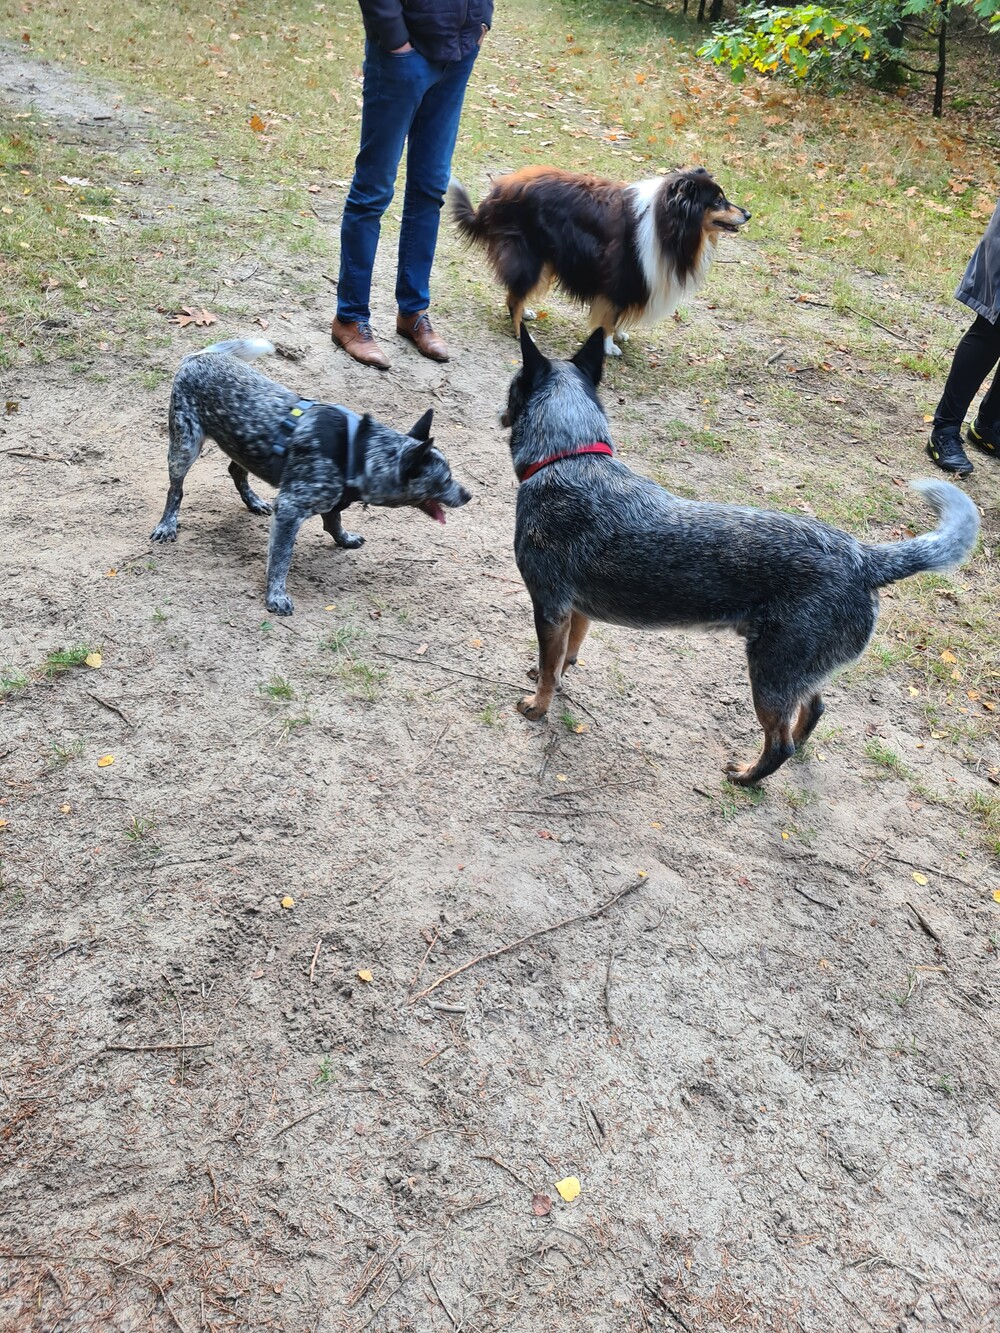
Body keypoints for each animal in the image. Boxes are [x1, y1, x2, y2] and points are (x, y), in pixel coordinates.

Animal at [151, 339, 471, 615]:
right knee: (175, 491)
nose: (468, 495)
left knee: (236, 470)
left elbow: (334, 523)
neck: (359, 453)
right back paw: (167, 524)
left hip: (242, 447)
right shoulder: (289, 510)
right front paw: (276, 596)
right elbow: (281, 560)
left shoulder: (332, 500)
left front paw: (344, 539)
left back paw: (253, 501)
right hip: (184, 448)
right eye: (445, 479)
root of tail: (199, 356)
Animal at [450, 165, 749, 355]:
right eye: (718, 201)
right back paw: (521, 332)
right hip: (532, 258)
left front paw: (619, 334)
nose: (748, 214)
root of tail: (495, 195)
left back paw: (526, 313)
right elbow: (608, 316)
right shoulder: (619, 276)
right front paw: (608, 344)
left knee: (515, 294)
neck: (666, 222)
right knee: (514, 297)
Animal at [503, 325, 980, 784]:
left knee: (779, 744)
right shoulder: (577, 610)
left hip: (769, 677)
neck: (568, 457)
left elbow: (549, 668)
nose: (500, 412)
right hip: (795, 673)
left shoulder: (549, 607)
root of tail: (864, 558)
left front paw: (537, 706)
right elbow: (565, 658)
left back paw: (747, 777)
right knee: (813, 711)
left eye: (511, 387)